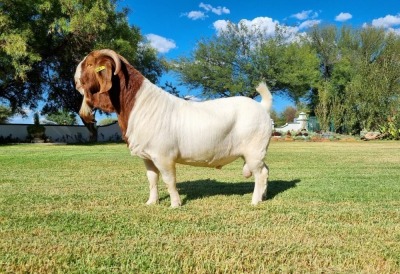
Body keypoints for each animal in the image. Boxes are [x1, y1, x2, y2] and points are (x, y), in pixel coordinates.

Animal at [74, 49, 276, 208]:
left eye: (90, 64)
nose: (75, 81)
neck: (140, 104)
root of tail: (262, 107)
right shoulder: (147, 157)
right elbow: (152, 179)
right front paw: (151, 202)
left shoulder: (163, 156)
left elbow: (169, 180)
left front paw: (175, 204)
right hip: (254, 153)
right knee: (265, 170)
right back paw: (263, 196)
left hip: (253, 150)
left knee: (259, 174)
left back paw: (255, 201)